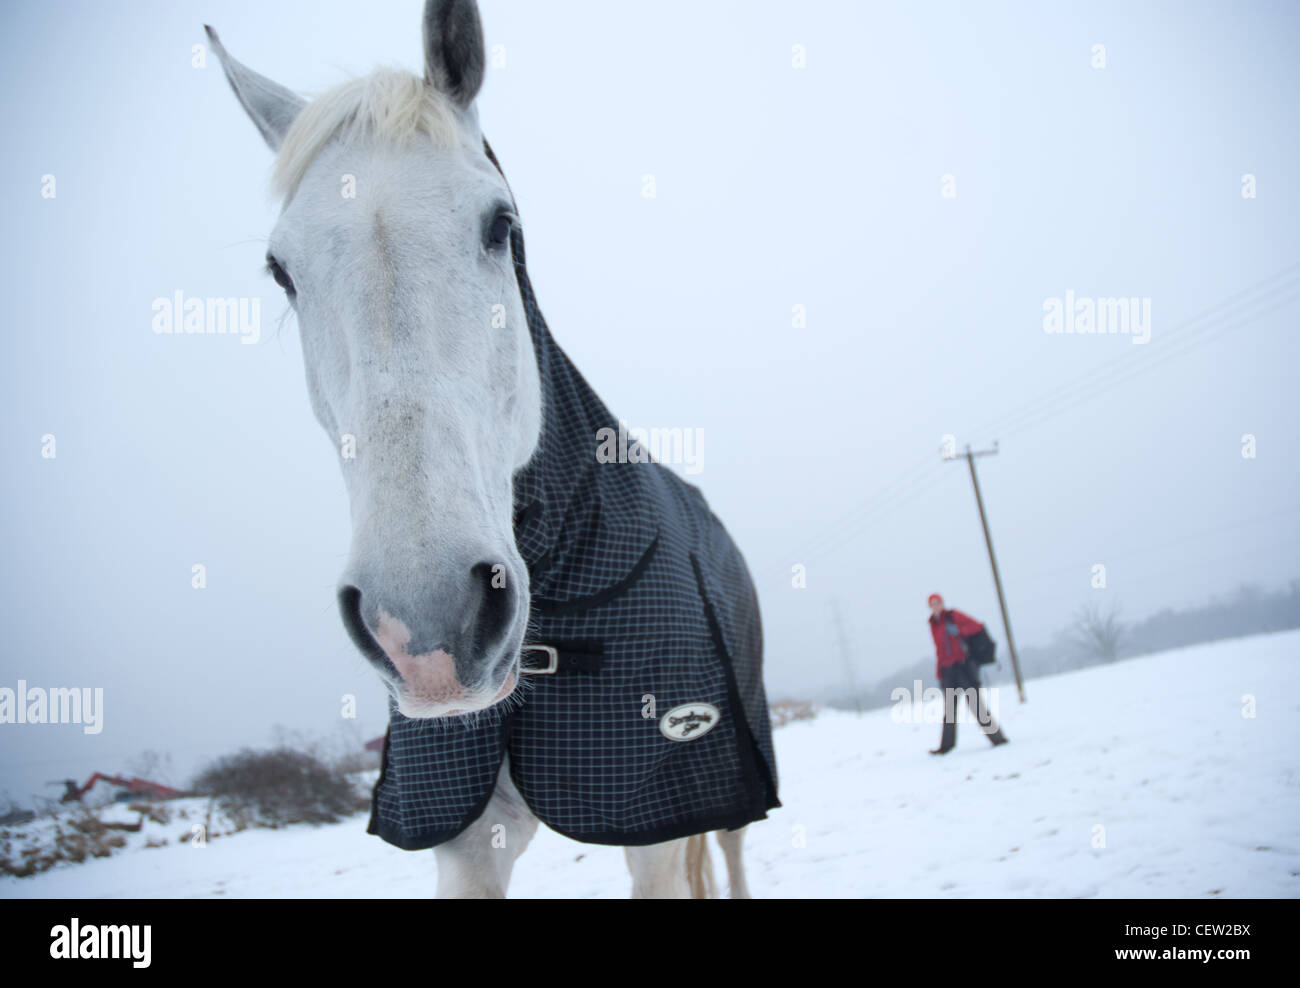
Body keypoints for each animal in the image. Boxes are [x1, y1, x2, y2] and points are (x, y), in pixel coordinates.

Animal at [208, 0, 778, 898]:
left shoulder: (655, 819)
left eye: (499, 224)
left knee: (728, 853)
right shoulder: (466, 838)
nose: (426, 623)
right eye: (281, 271)